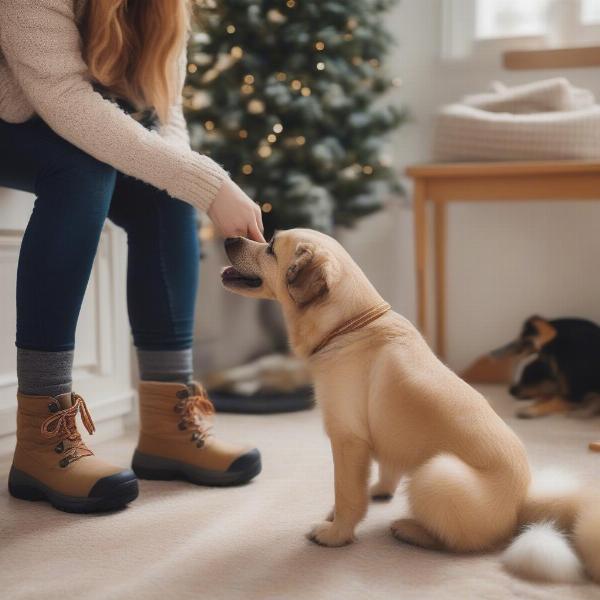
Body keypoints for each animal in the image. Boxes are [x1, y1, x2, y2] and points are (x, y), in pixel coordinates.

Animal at [221, 229, 600, 580]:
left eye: (271, 246)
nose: (229, 238)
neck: (348, 324)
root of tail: (522, 507)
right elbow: (383, 470)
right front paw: (376, 492)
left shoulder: (347, 439)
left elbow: (347, 494)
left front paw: (336, 533)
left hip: (437, 472)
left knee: (462, 544)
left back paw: (411, 529)